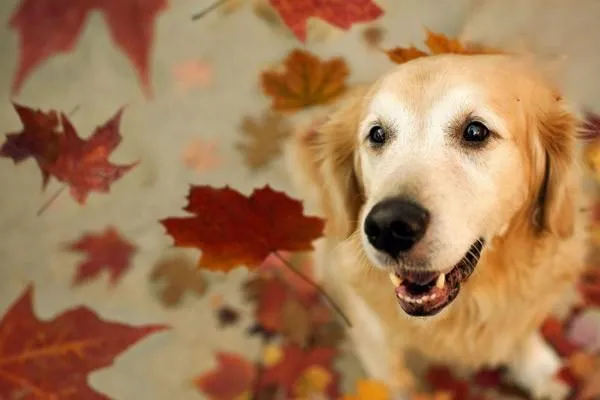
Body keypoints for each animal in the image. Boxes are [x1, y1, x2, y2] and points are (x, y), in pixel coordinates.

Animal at [284, 54, 584, 400]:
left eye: (475, 131)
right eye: (377, 135)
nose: (388, 226)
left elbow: (520, 327)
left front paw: (536, 366)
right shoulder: (376, 340)